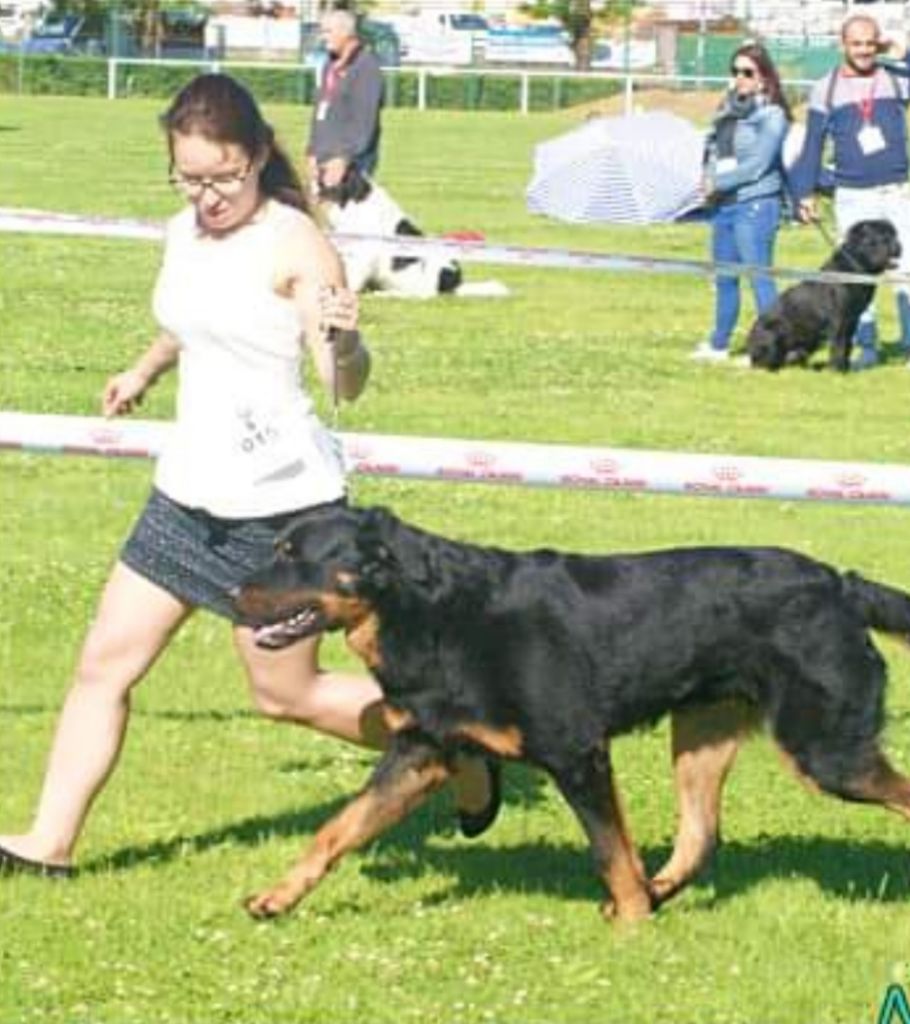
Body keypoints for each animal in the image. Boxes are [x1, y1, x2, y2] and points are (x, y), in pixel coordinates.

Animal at [234, 505, 910, 929]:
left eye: (294, 555)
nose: (237, 595)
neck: (429, 610)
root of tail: (840, 585)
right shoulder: (420, 751)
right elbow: (339, 828)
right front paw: (276, 898)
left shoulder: (576, 752)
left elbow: (608, 850)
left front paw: (632, 930)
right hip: (703, 734)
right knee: (699, 837)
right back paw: (656, 892)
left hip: (827, 750)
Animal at [745, 218, 900, 370]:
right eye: (882, 237)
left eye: (894, 234)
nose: (897, 245)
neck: (853, 269)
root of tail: (749, 351)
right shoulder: (838, 319)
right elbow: (838, 345)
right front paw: (837, 371)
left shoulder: (852, 319)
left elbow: (847, 345)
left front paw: (845, 368)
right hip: (773, 333)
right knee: (765, 363)